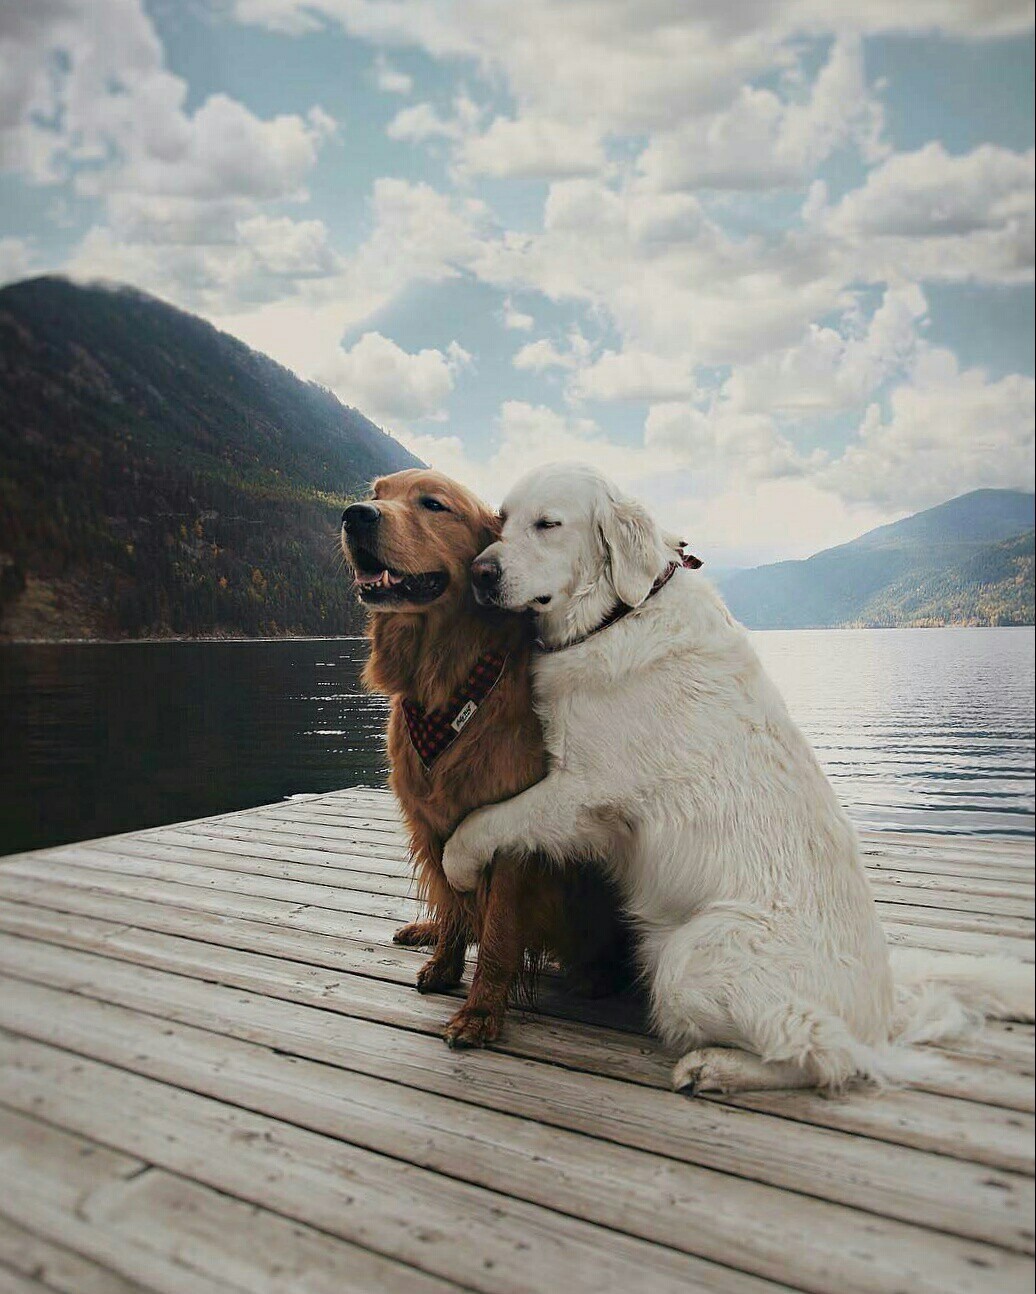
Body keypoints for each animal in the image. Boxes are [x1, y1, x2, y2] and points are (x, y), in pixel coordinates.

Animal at [344, 471, 625, 1045]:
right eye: (377, 493)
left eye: (433, 504)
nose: (355, 514)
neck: (444, 686)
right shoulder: (430, 825)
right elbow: (454, 905)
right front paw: (446, 964)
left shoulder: (509, 836)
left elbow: (496, 934)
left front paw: (480, 1011)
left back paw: (595, 974)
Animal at [439, 465, 1029, 1092]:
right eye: (502, 520)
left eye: (548, 524)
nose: (480, 573)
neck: (619, 613)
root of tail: (881, 1013)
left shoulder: (583, 792)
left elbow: (485, 821)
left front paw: (458, 866)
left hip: (688, 959)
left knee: (826, 1054)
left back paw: (712, 1067)